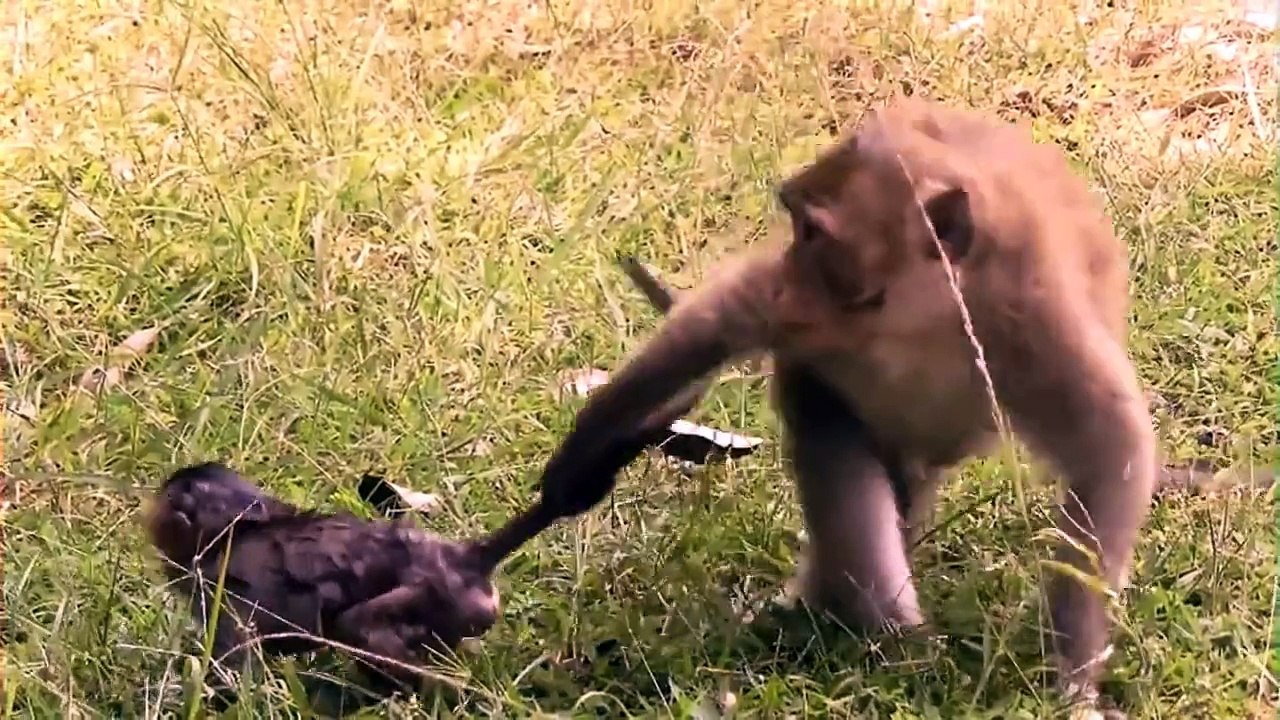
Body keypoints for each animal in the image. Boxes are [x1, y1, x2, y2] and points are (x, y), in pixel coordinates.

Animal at [532, 97, 1158, 718]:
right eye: (798, 227)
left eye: (815, 231)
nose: (791, 275)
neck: (918, 319)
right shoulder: (805, 316)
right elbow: (715, 321)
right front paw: (581, 456)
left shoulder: (1029, 320)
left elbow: (1113, 450)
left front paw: (1073, 675)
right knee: (840, 464)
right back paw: (887, 637)